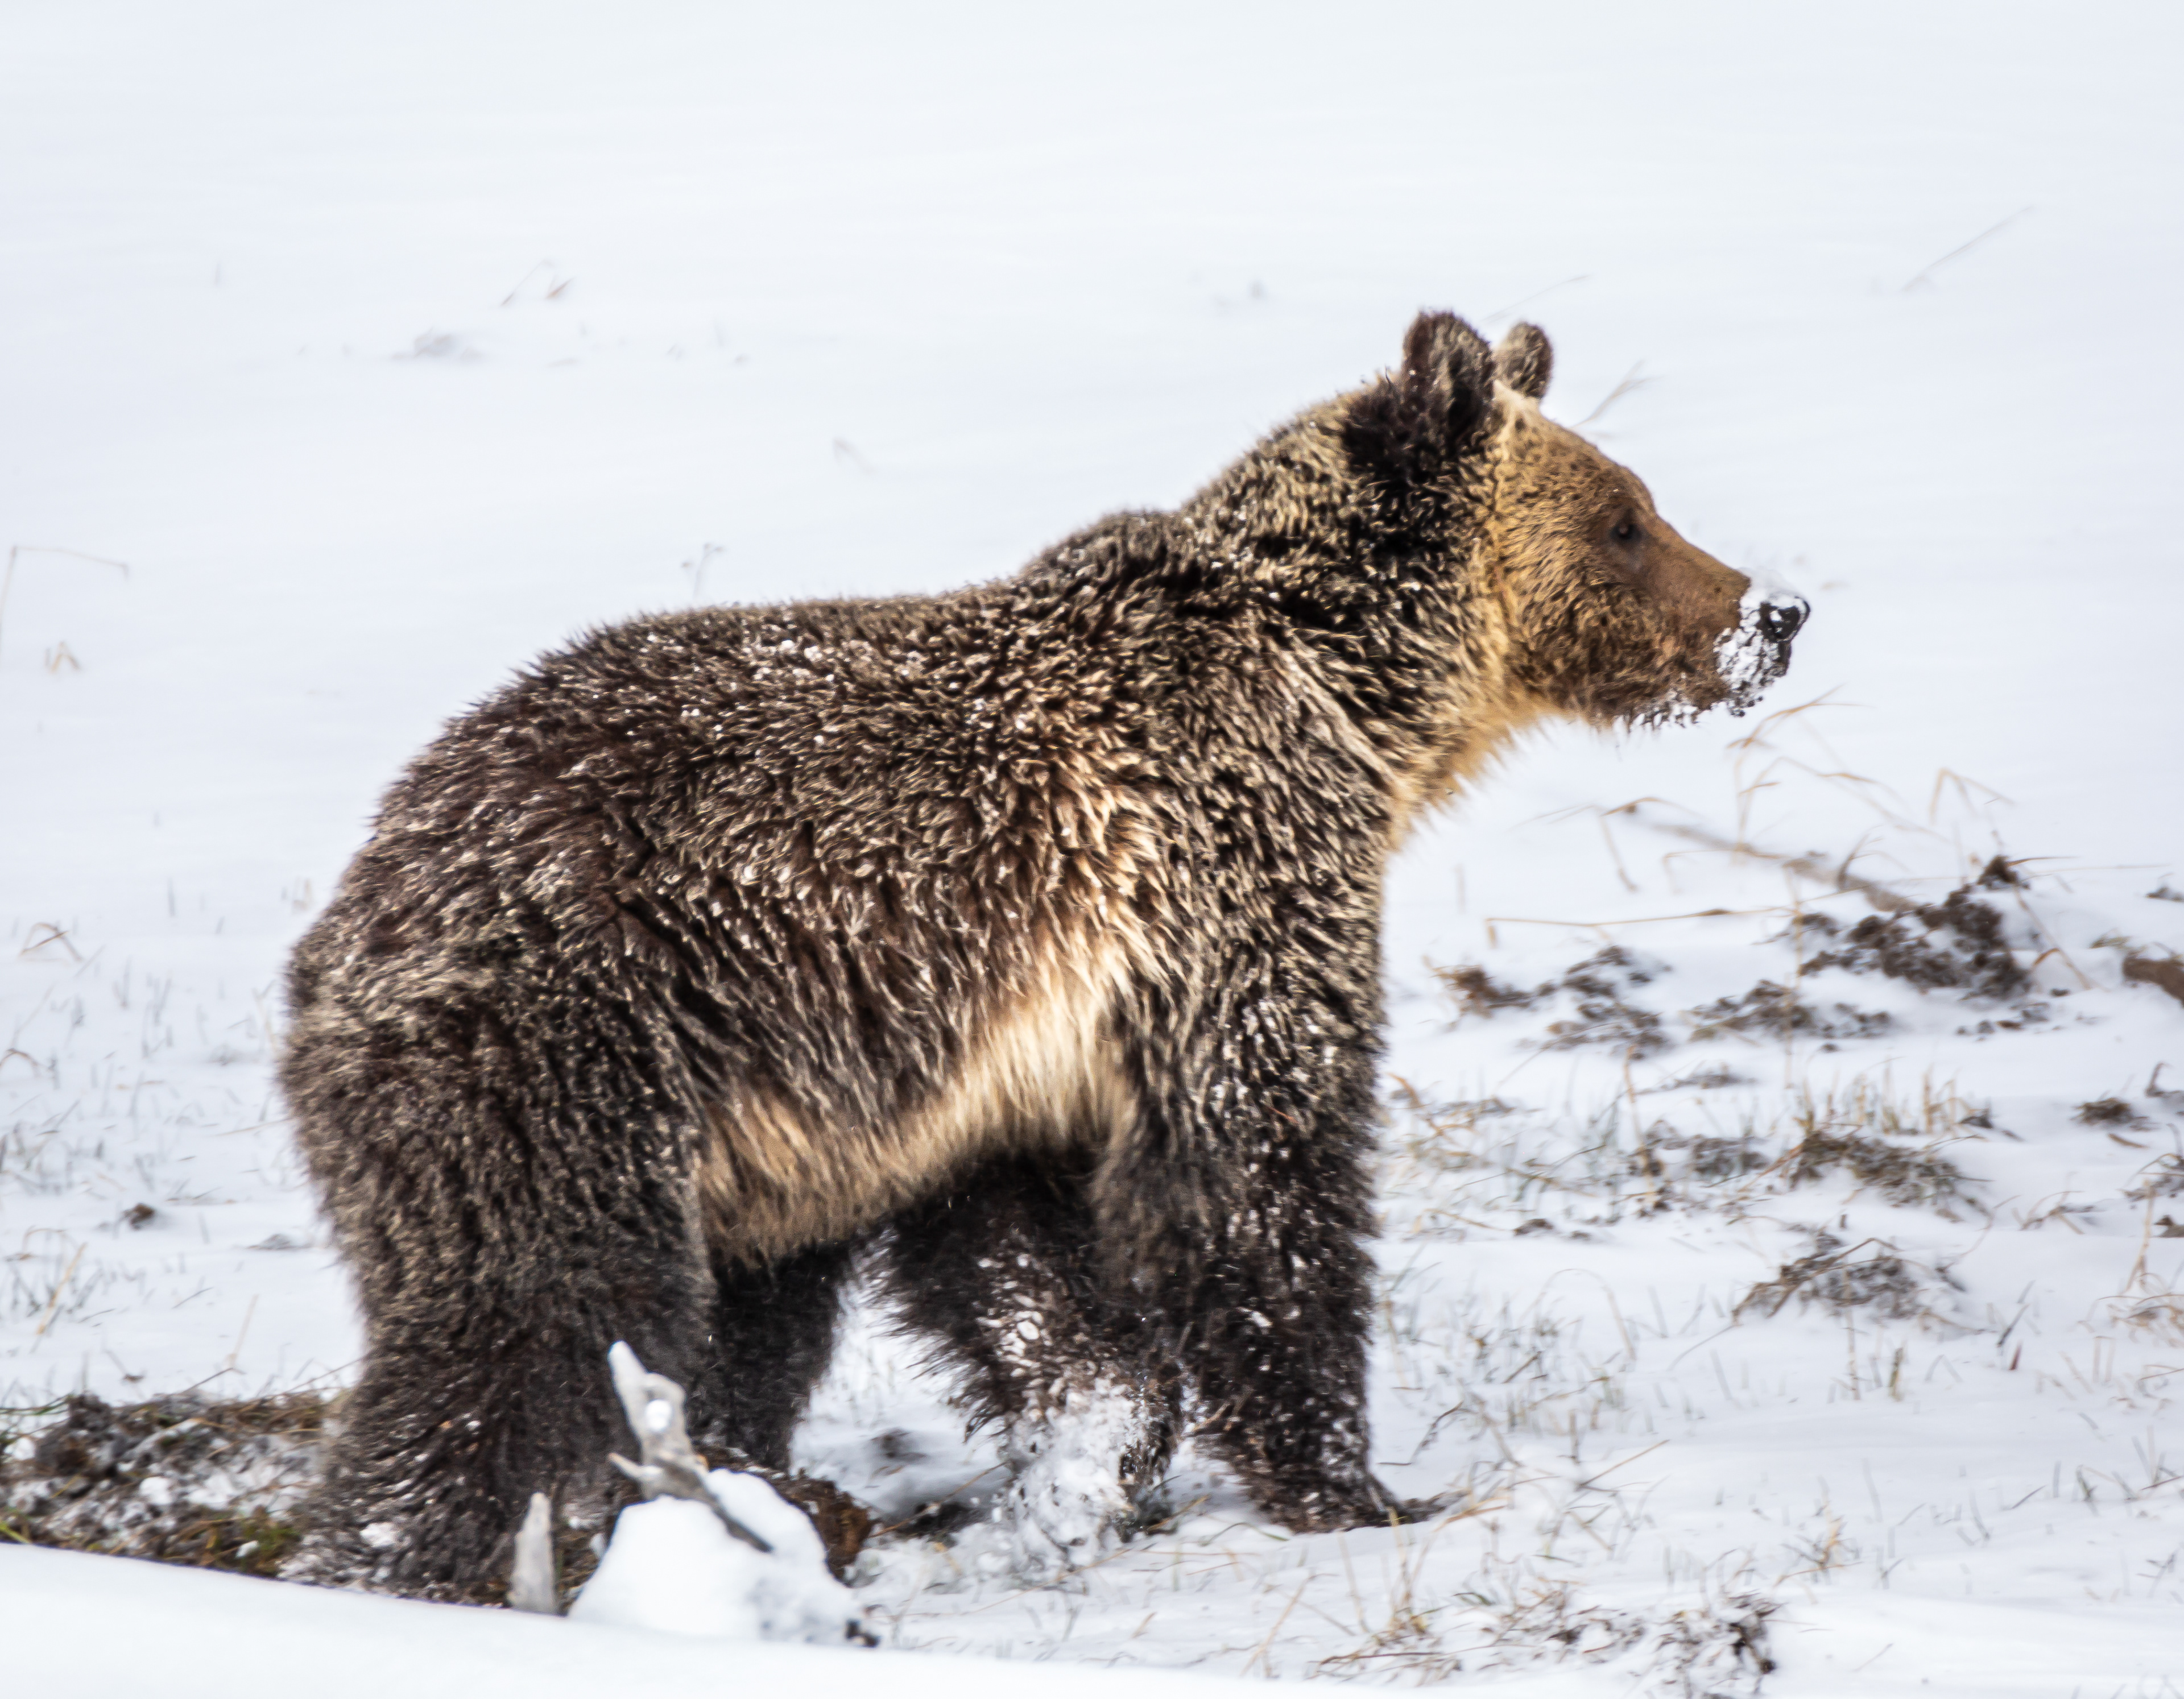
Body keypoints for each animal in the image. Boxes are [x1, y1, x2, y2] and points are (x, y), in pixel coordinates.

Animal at [277, 311, 1806, 1598]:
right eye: (1625, 517)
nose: (1772, 614)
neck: (1353, 707)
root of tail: (357, 905)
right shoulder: (1219, 897)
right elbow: (1259, 1180)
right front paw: (1354, 1484)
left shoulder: (1012, 1056)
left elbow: (1024, 1270)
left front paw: (1085, 1468)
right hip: (569, 1040)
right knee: (531, 1324)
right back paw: (407, 1558)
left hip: (732, 1127)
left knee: (737, 1323)